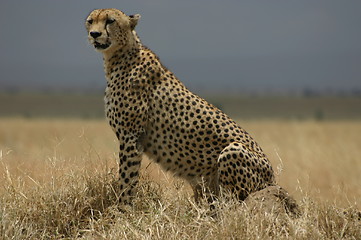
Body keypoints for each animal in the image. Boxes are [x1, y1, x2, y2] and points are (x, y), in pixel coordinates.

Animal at [86, 8, 280, 207]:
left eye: (110, 21)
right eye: (90, 21)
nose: (94, 34)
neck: (118, 57)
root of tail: (273, 180)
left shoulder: (131, 135)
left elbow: (127, 178)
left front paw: (123, 208)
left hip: (232, 151)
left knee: (230, 203)